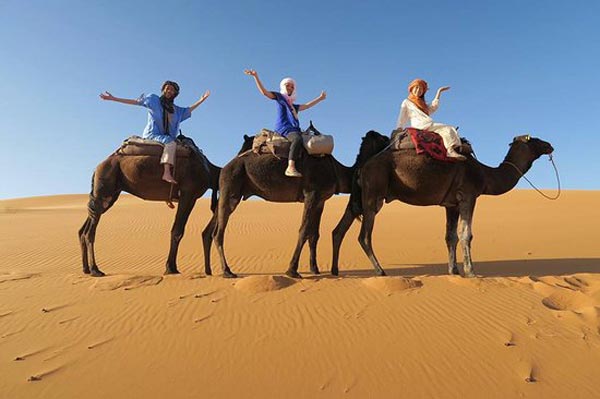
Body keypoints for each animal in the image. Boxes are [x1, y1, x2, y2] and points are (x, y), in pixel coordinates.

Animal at [78, 139, 220, 280]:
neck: (209, 170)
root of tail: (98, 167)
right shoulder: (188, 193)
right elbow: (177, 231)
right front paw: (171, 268)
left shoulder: (190, 196)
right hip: (104, 187)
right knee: (90, 232)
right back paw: (95, 270)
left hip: (109, 194)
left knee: (85, 227)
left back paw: (86, 269)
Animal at [213, 127, 386, 278]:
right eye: (383, 138)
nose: (390, 141)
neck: (337, 171)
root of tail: (224, 168)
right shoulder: (311, 195)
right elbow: (303, 231)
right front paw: (292, 270)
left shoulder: (320, 200)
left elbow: (314, 234)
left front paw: (315, 269)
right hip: (230, 187)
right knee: (218, 232)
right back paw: (227, 271)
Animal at [330, 131, 556, 278]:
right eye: (534, 139)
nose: (550, 145)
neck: (485, 174)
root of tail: (363, 166)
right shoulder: (468, 196)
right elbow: (466, 234)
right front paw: (471, 272)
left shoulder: (451, 204)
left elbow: (450, 236)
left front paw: (453, 271)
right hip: (373, 194)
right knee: (364, 236)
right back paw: (379, 270)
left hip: (360, 197)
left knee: (339, 229)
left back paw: (335, 270)